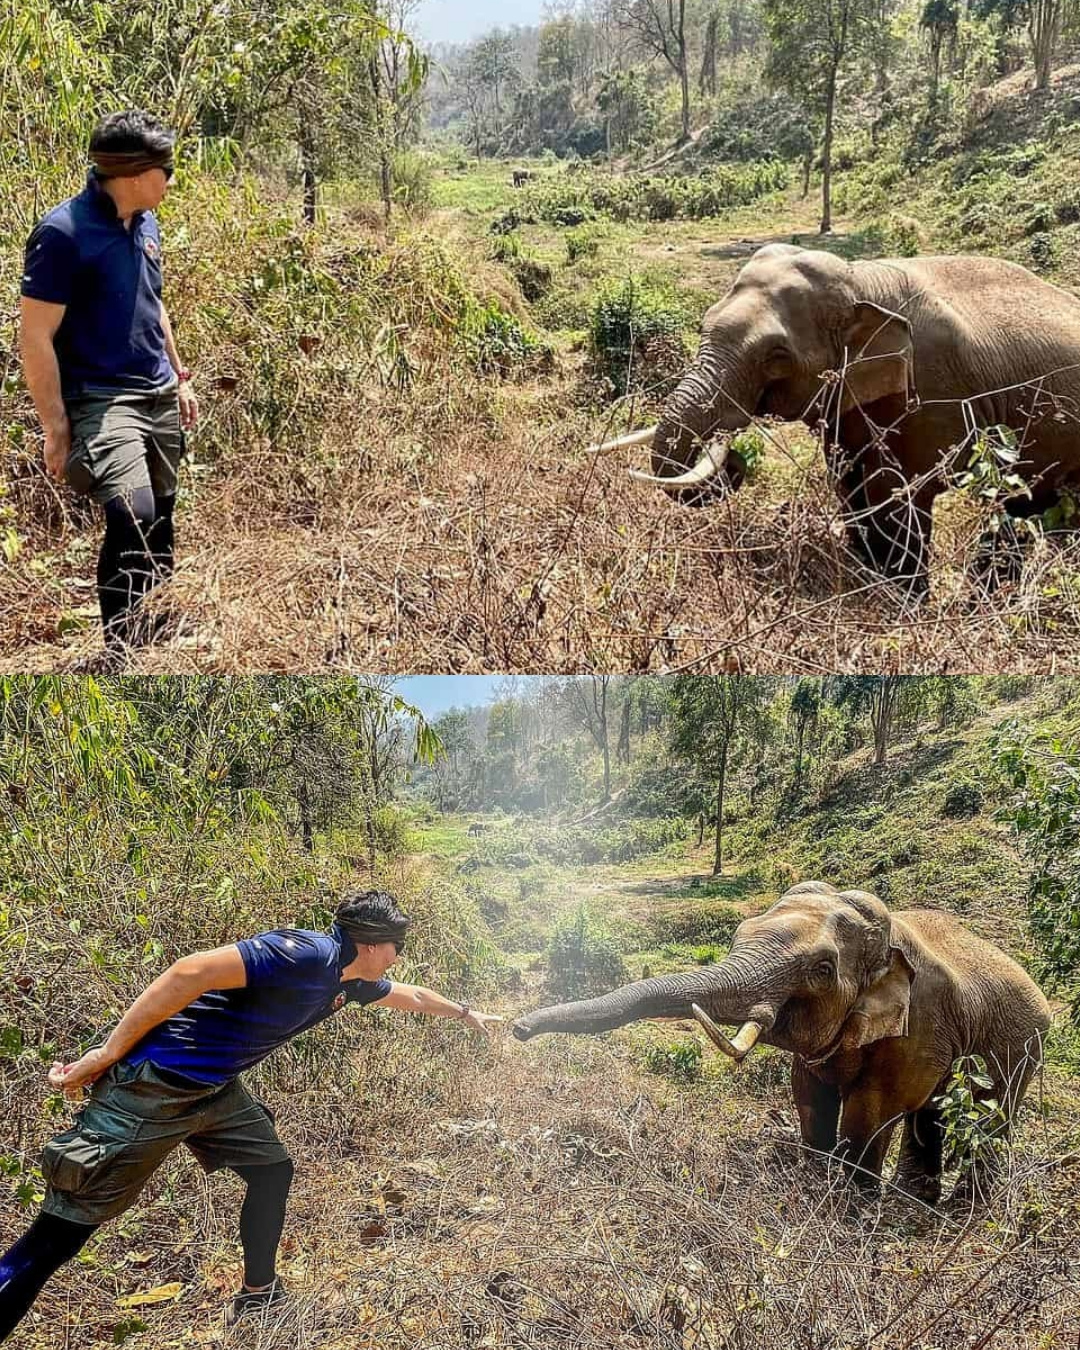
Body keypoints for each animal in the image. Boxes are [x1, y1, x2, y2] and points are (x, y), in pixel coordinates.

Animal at [513, 881, 1051, 1202]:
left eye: (823, 969)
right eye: (739, 934)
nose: (517, 1028)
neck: (887, 935)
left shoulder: (918, 1026)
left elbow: (872, 1112)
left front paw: (850, 1209)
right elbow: (808, 1094)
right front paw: (816, 1181)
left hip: (1023, 1045)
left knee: (992, 1116)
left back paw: (962, 1206)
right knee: (933, 1116)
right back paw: (919, 1200)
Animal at [588, 246, 1080, 592]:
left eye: (776, 356)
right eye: (703, 324)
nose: (734, 463)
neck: (863, 279)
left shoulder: (935, 393)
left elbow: (896, 494)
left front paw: (900, 599)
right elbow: (848, 482)